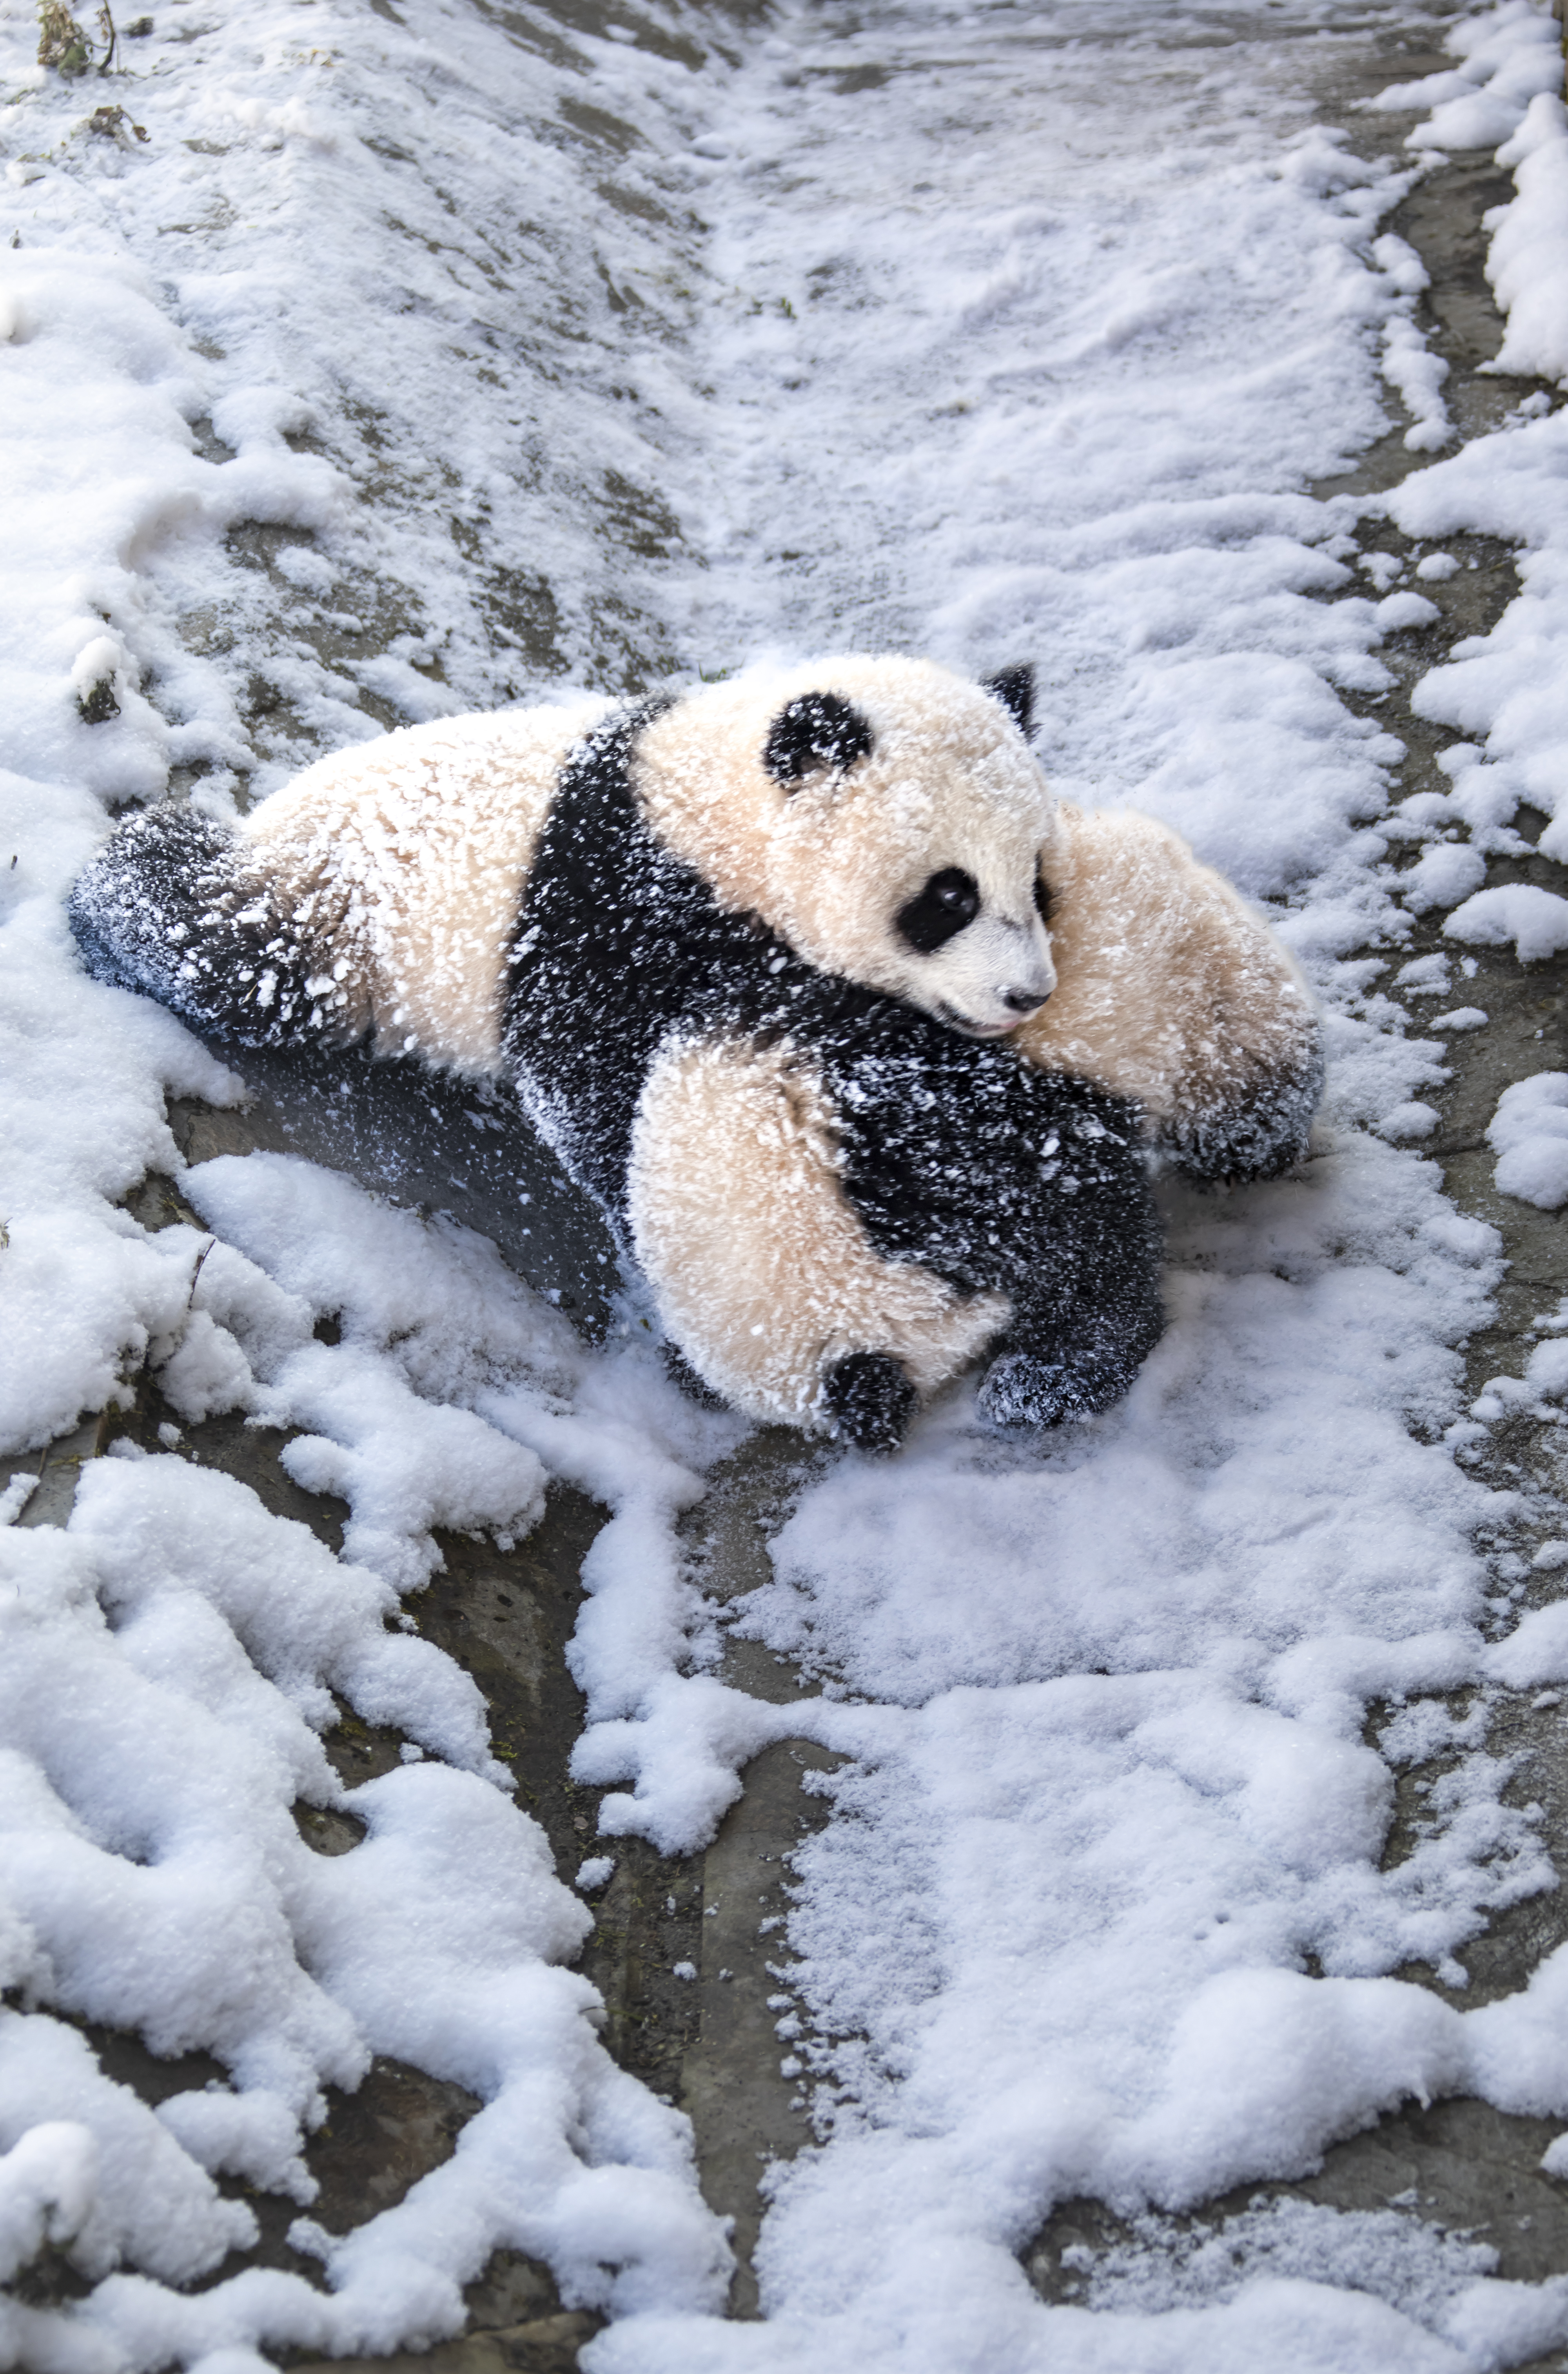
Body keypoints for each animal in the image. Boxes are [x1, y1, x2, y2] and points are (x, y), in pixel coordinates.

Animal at [61, 660, 1309, 1453]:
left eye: (1039, 884)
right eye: (947, 898)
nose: (1025, 996)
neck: (705, 810)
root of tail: (277, 820)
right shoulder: (610, 901)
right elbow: (594, 1076)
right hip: (345, 919)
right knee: (233, 952)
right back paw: (125, 884)